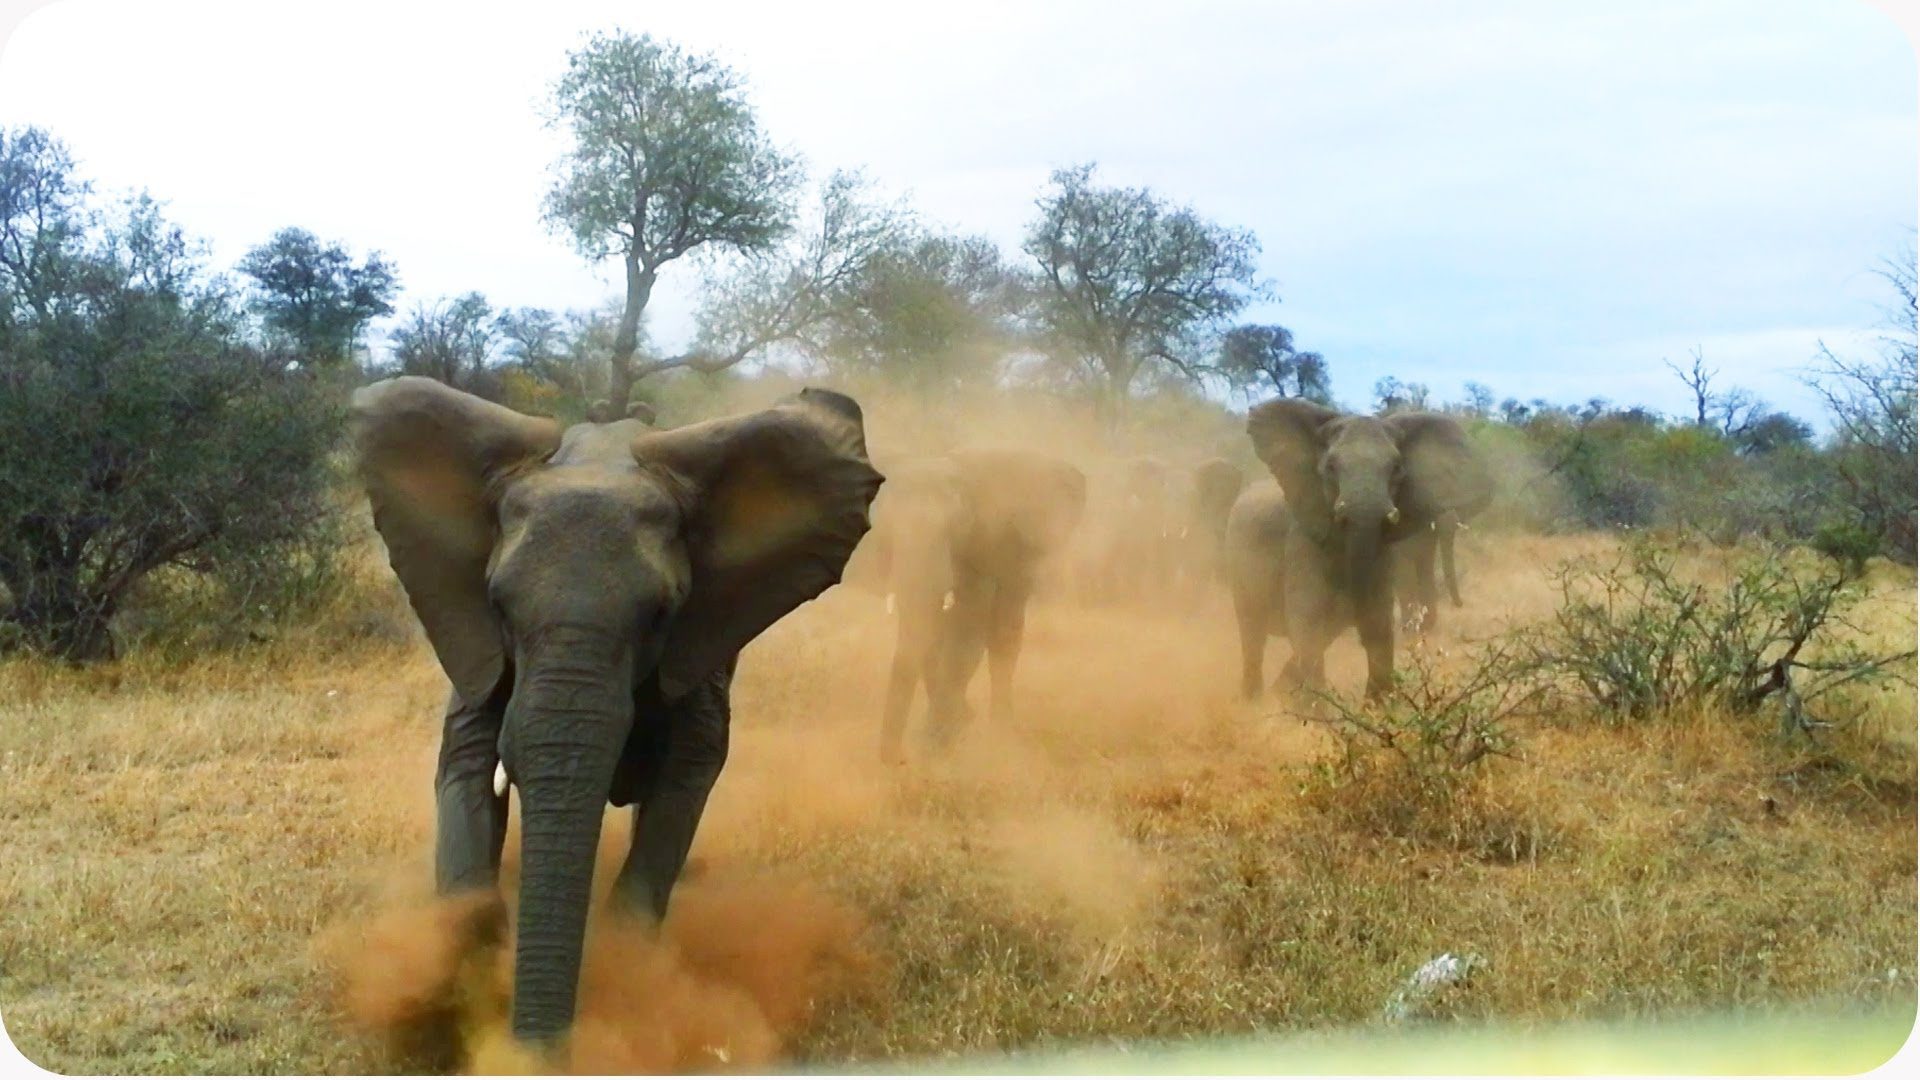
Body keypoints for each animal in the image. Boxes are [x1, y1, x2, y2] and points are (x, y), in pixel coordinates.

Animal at [351, 376, 882, 1051]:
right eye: (499, 605)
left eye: (661, 614)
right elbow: (466, 765)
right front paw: (457, 978)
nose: (541, 1054)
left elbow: (685, 778)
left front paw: (626, 977)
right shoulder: (472, 642)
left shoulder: (698, 647)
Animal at [866, 447, 1086, 761]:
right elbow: (933, 633)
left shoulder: (978, 545)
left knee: (1004, 633)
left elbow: (966, 631)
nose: (899, 762)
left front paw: (941, 738)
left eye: (954, 527)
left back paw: (1001, 735)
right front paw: (952, 727)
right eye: (884, 530)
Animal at [1245, 398, 1491, 698]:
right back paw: (1254, 700)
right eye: (1330, 467)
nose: (1461, 604)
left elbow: (1379, 620)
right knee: (1252, 635)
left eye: (1396, 468)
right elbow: (1308, 623)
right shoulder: (1302, 542)